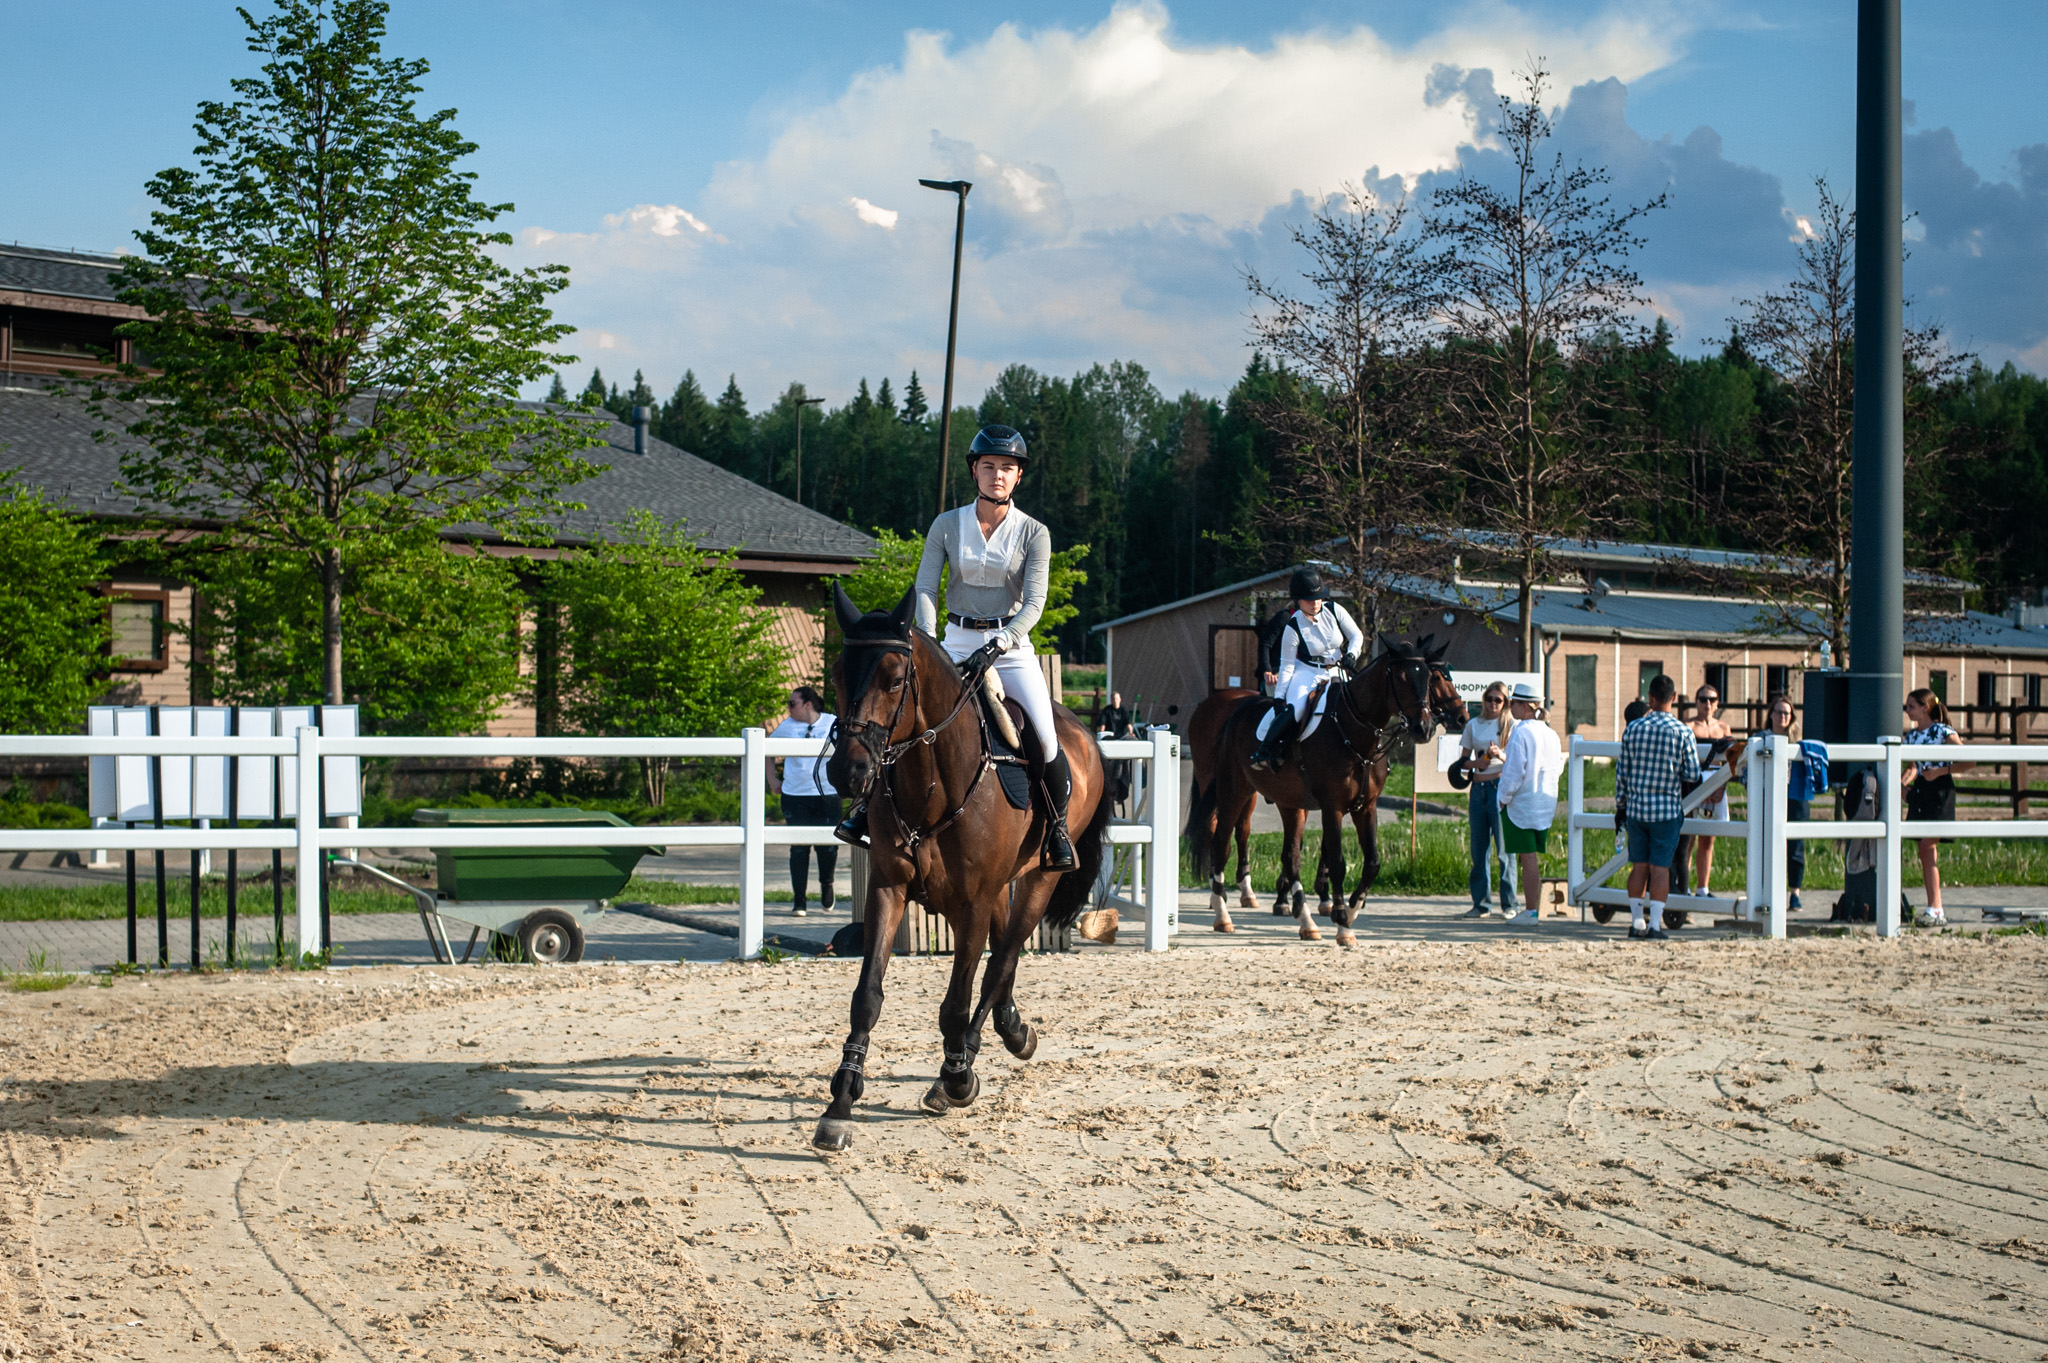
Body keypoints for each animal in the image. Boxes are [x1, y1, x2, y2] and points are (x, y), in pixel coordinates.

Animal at [806, 585, 1114, 1146]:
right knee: (1001, 961)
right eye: (838, 675)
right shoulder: (889, 889)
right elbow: (866, 996)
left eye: (895, 679)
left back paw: (968, 1057)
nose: (848, 770)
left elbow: (956, 1000)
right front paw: (839, 1104)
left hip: (1037, 878)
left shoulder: (972, 902)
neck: (932, 780)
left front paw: (956, 1078)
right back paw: (1010, 1029)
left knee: (1001, 961)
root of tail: (1081, 731)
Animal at [1196, 638, 1466, 945]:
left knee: (1291, 857)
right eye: (1402, 677)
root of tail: (1237, 710)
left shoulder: (1365, 808)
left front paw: (1351, 909)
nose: (1425, 727)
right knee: (1222, 842)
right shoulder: (1332, 807)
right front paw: (1342, 923)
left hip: (1290, 804)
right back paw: (1222, 914)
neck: (1355, 734)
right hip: (1234, 791)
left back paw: (1305, 921)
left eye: (1428, 677)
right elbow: (1337, 861)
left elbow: (1372, 863)